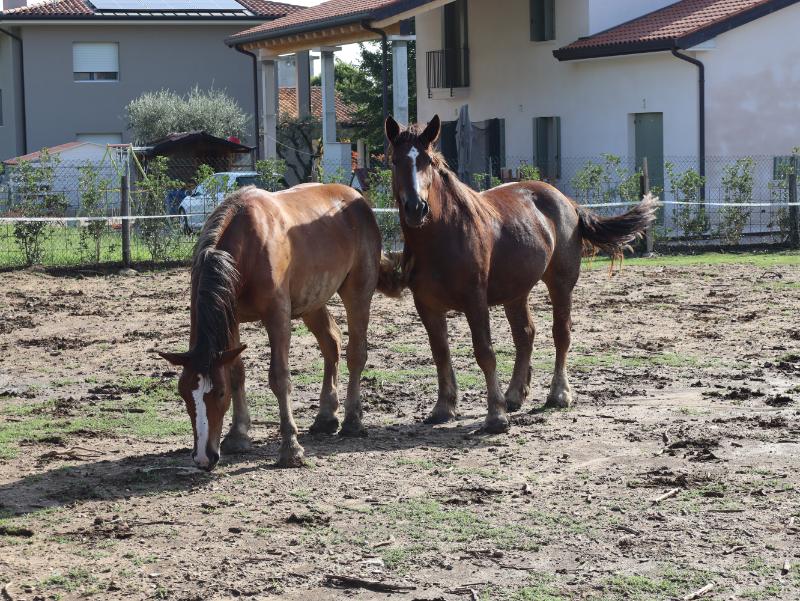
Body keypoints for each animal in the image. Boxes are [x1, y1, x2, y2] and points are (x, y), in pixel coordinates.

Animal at [158, 183, 389, 470]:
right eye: (184, 394)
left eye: (220, 394)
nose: (203, 457)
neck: (248, 247)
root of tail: (357, 199)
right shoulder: (231, 320)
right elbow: (237, 373)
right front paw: (238, 435)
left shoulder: (277, 317)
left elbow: (279, 377)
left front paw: (290, 447)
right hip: (312, 302)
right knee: (331, 343)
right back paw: (326, 416)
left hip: (358, 293)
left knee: (356, 353)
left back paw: (352, 420)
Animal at [384, 115, 658, 433]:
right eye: (395, 160)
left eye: (427, 160)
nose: (416, 207)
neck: (443, 235)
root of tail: (567, 202)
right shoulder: (426, 304)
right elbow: (440, 353)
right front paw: (443, 408)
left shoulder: (475, 300)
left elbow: (485, 352)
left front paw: (495, 415)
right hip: (515, 292)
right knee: (525, 334)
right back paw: (515, 395)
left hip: (561, 284)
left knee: (561, 333)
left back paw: (559, 394)